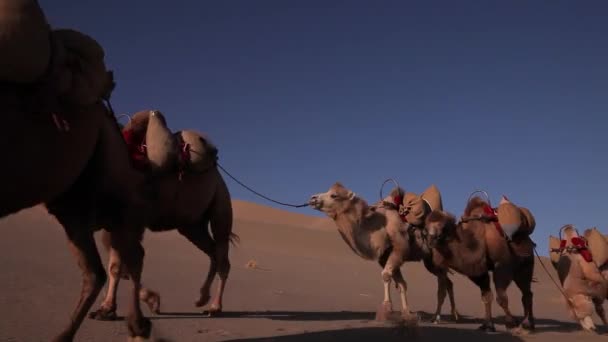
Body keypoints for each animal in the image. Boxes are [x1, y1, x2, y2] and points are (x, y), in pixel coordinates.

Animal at [308, 182, 460, 324]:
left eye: (334, 195)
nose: (312, 198)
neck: (379, 227)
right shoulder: (385, 257)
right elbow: (401, 284)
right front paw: (406, 314)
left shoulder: (399, 248)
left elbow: (386, 275)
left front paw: (386, 309)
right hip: (430, 262)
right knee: (448, 283)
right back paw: (454, 315)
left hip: (437, 258)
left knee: (442, 286)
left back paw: (437, 317)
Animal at [422, 196, 536, 332]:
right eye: (426, 228)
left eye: (444, 228)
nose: (432, 239)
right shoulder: (478, 272)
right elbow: (486, 296)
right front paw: (487, 325)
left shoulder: (502, 265)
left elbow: (501, 297)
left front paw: (511, 322)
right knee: (527, 293)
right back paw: (529, 323)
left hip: (526, 265)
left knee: (527, 293)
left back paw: (527, 324)